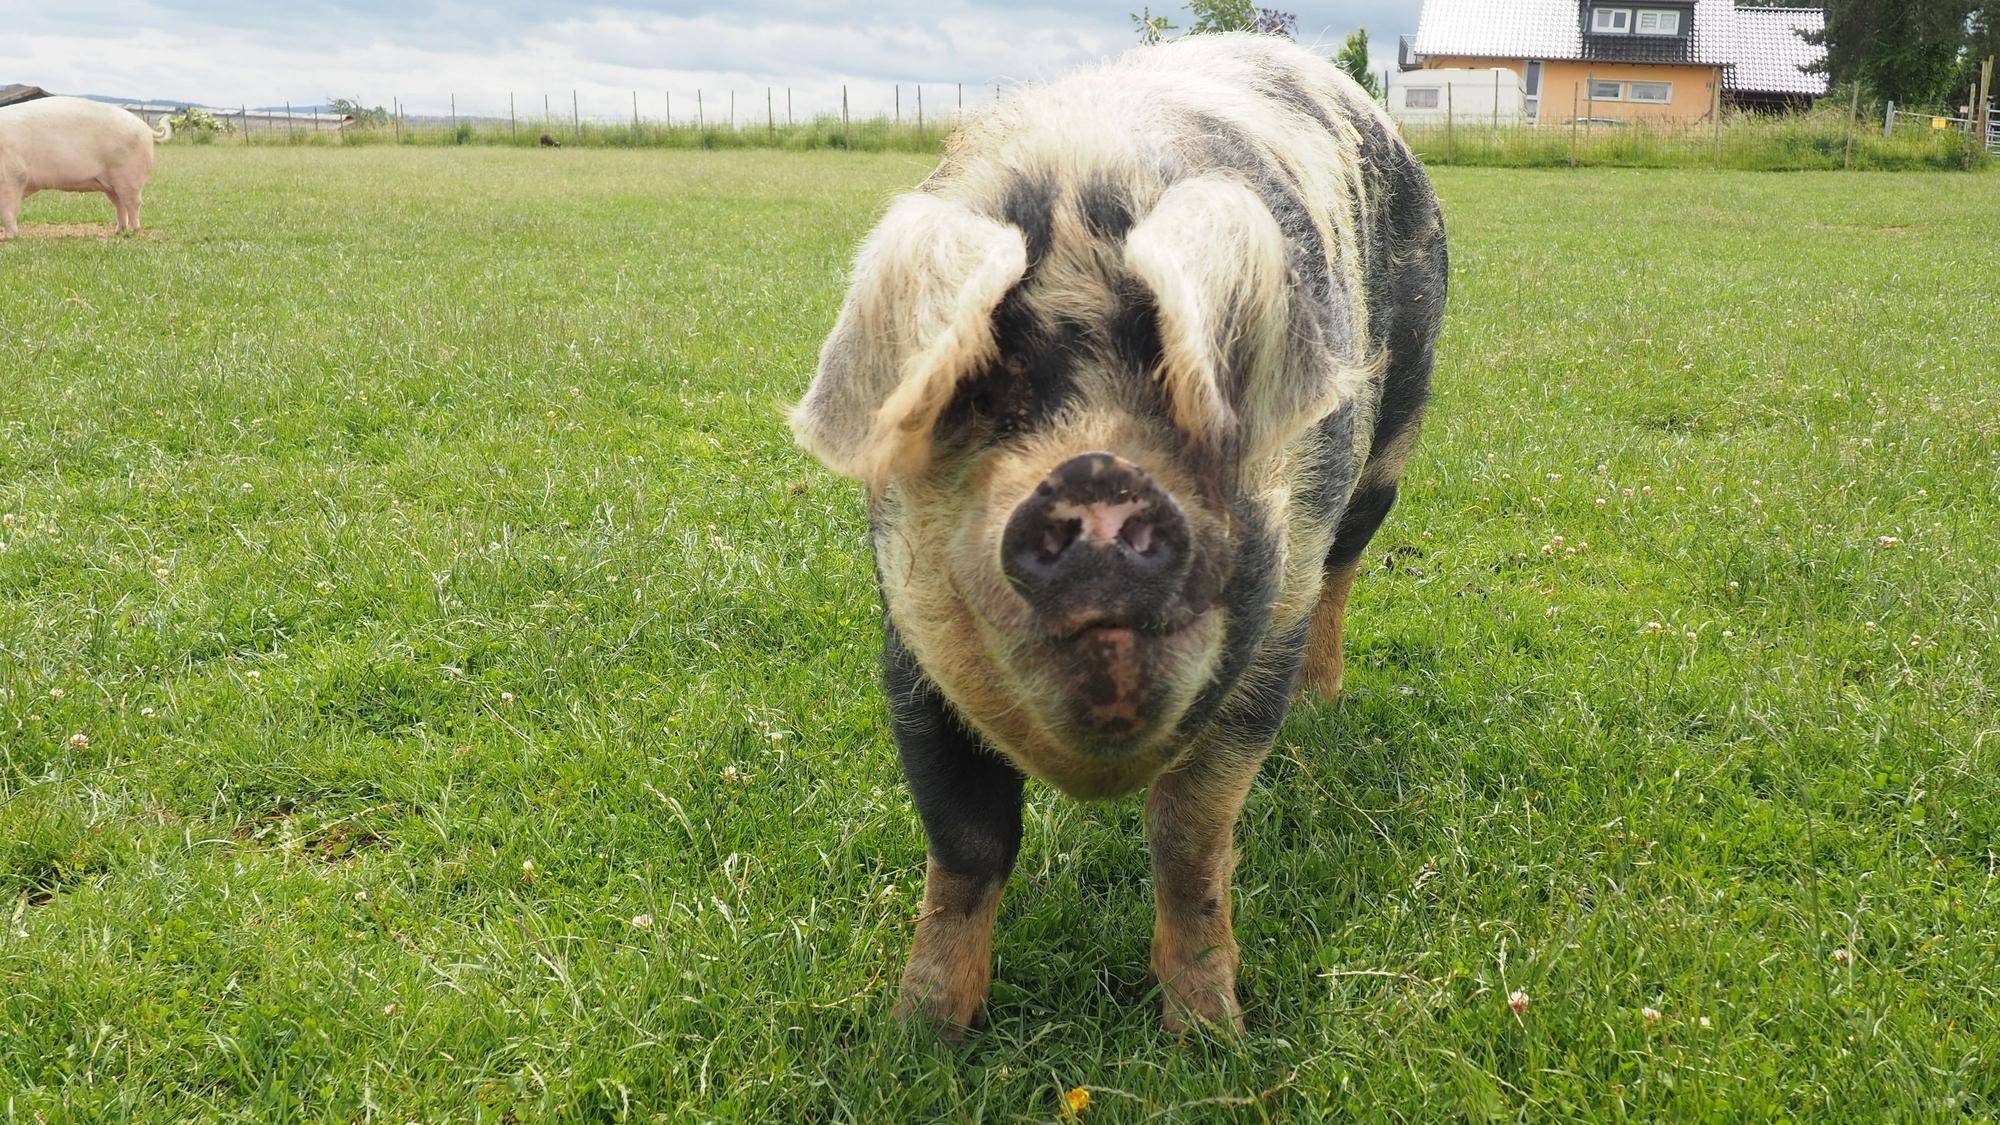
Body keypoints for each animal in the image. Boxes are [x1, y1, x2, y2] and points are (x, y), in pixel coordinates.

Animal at [0, 96, 171, 239]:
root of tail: (146, 128)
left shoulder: (13, 176)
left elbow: (8, 210)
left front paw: (9, 238)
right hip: (112, 186)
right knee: (120, 205)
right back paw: (118, 231)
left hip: (129, 177)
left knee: (134, 203)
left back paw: (134, 232)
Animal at [791, 33, 1447, 1037]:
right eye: (987, 395)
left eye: (1175, 385)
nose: (1095, 475)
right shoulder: (908, 642)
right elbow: (965, 841)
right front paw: (919, 1033)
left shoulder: (1266, 638)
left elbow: (1189, 838)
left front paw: (1210, 1036)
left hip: (1395, 430)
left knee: (1349, 563)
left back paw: (1324, 704)